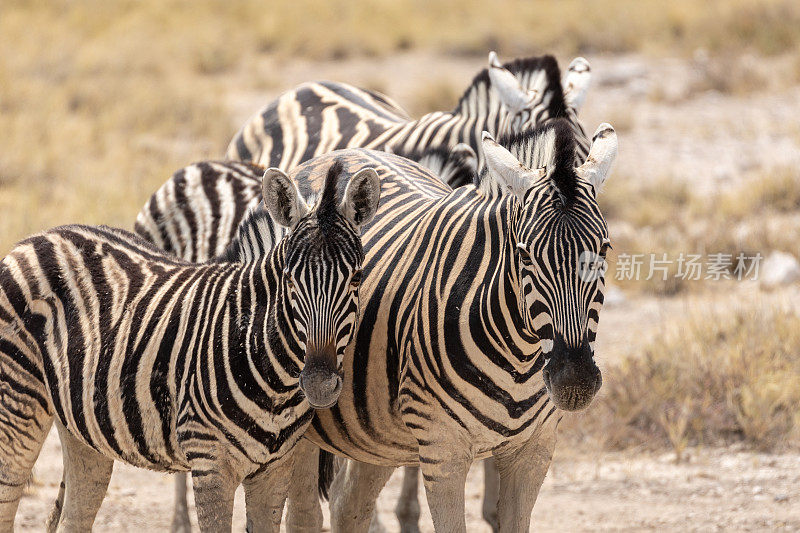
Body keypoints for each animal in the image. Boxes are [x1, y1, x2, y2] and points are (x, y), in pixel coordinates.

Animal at [0, 160, 382, 528]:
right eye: (289, 279)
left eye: (357, 278)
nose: (319, 384)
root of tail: (39, 236)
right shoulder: (211, 464)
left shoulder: (274, 470)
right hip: (17, 404)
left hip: (80, 426)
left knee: (73, 516)